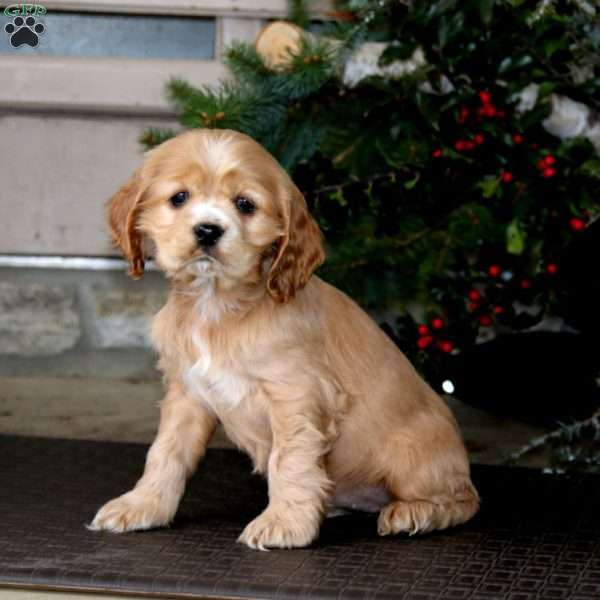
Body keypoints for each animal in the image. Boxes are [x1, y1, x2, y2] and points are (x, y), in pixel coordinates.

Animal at [89, 130, 478, 548]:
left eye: (245, 204)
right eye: (179, 197)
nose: (208, 229)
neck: (216, 306)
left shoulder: (297, 395)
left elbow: (288, 460)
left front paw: (285, 523)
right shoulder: (186, 393)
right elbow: (166, 453)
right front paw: (141, 506)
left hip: (411, 456)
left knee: (464, 499)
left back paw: (412, 512)